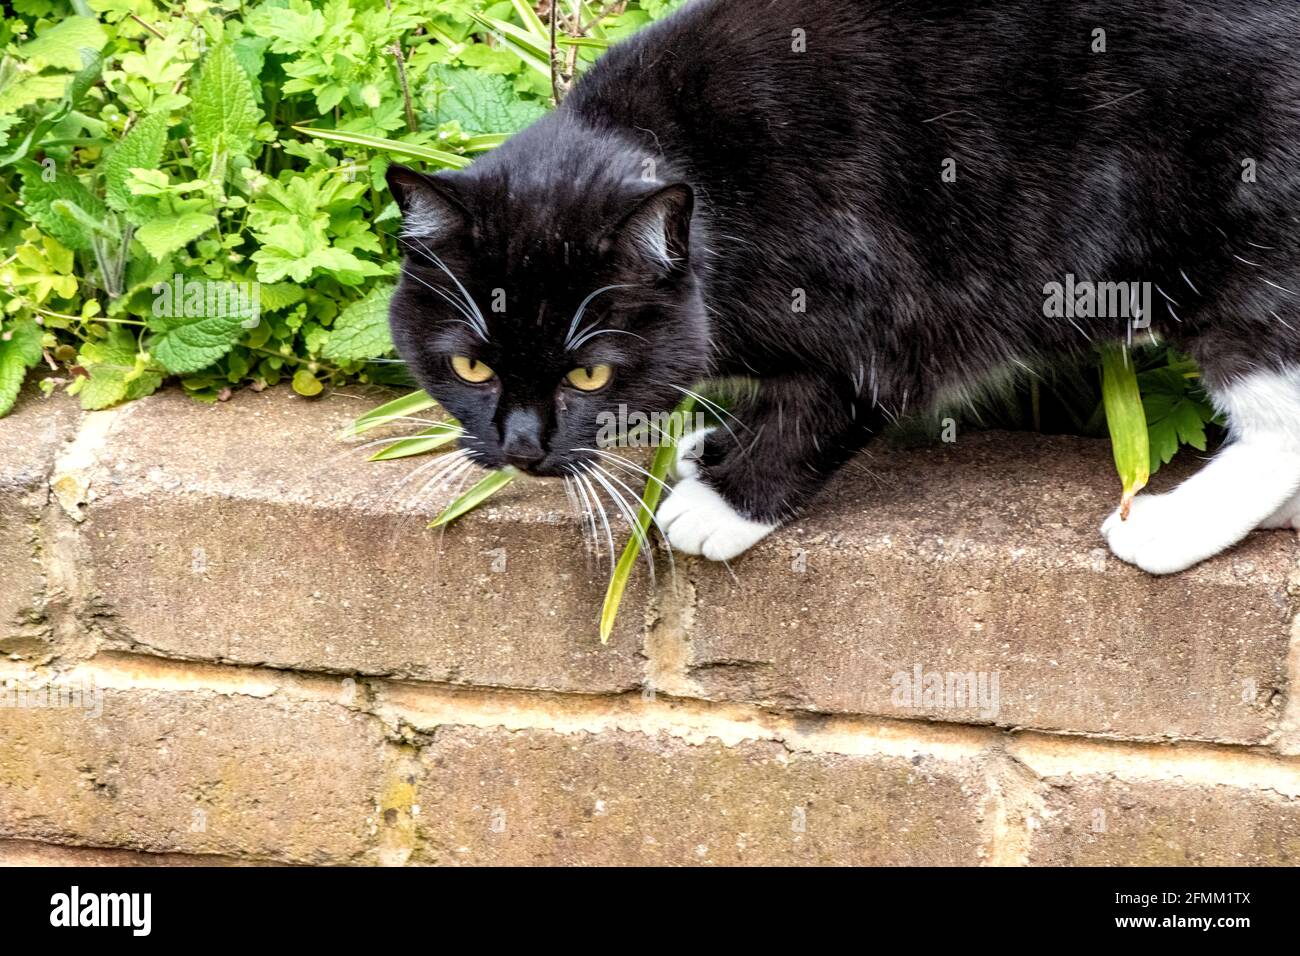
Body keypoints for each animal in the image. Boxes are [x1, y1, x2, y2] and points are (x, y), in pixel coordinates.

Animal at [382, 0, 1300, 572]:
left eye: (588, 373)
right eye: (470, 368)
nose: (520, 449)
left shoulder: (888, 302)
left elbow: (829, 402)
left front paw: (723, 502)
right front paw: (712, 446)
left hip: (1239, 247)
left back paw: (1178, 523)